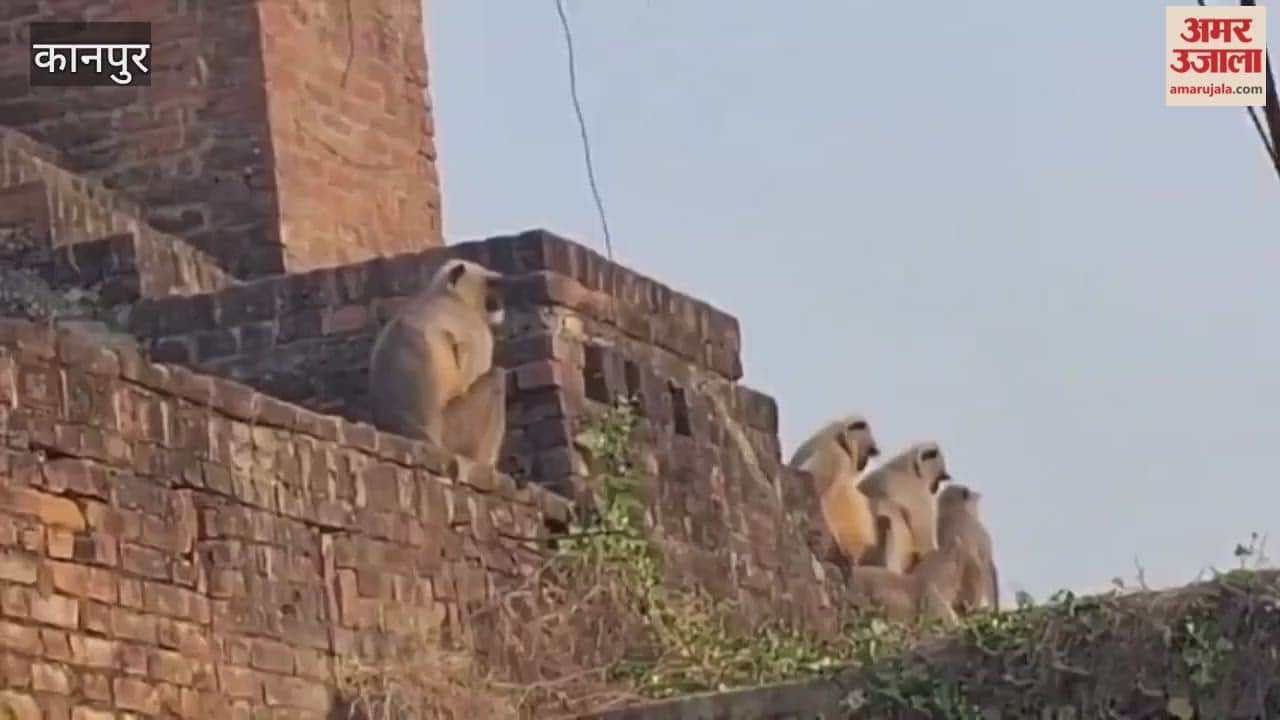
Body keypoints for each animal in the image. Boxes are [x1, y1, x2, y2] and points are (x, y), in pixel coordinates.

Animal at [368, 258, 507, 465]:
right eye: (491, 285)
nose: (499, 302)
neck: (449, 295)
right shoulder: (477, 332)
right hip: (452, 434)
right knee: (496, 376)